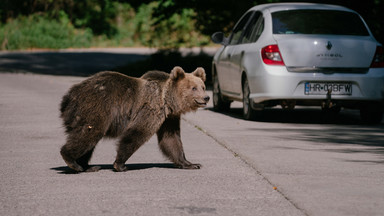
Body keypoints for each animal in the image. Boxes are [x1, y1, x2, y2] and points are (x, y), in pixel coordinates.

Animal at [60, 66, 210, 172]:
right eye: (194, 88)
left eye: (203, 87)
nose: (206, 97)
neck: (167, 101)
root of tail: (69, 96)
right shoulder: (151, 109)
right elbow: (137, 132)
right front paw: (120, 165)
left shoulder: (169, 118)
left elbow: (171, 139)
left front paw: (191, 164)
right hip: (97, 107)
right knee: (89, 133)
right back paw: (72, 161)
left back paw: (87, 166)